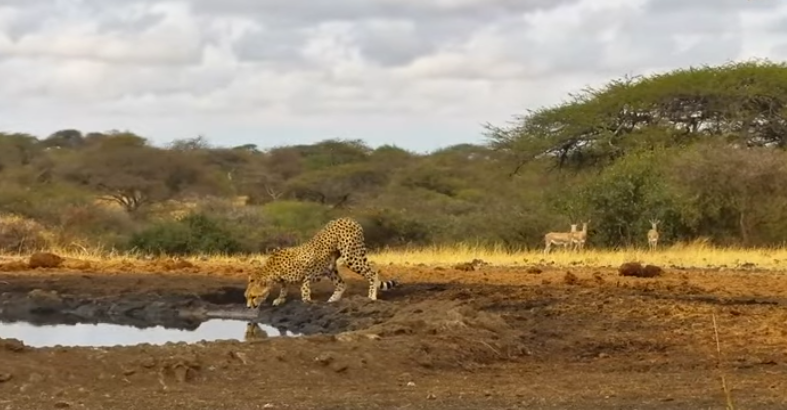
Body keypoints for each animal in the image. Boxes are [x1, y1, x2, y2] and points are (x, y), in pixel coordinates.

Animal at [244, 217, 399, 308]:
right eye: (247, 297)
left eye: (253, 296)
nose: (248, 307)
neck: (272, 269)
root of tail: (349, 219)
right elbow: (284, 287)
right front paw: (280, 299)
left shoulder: (308, 270)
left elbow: (304, 287)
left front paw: (306, 301)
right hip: (331, 268)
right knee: (342, 283)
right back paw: (332, 300)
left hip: (351, 255)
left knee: (372, 269)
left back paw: (372, 296)